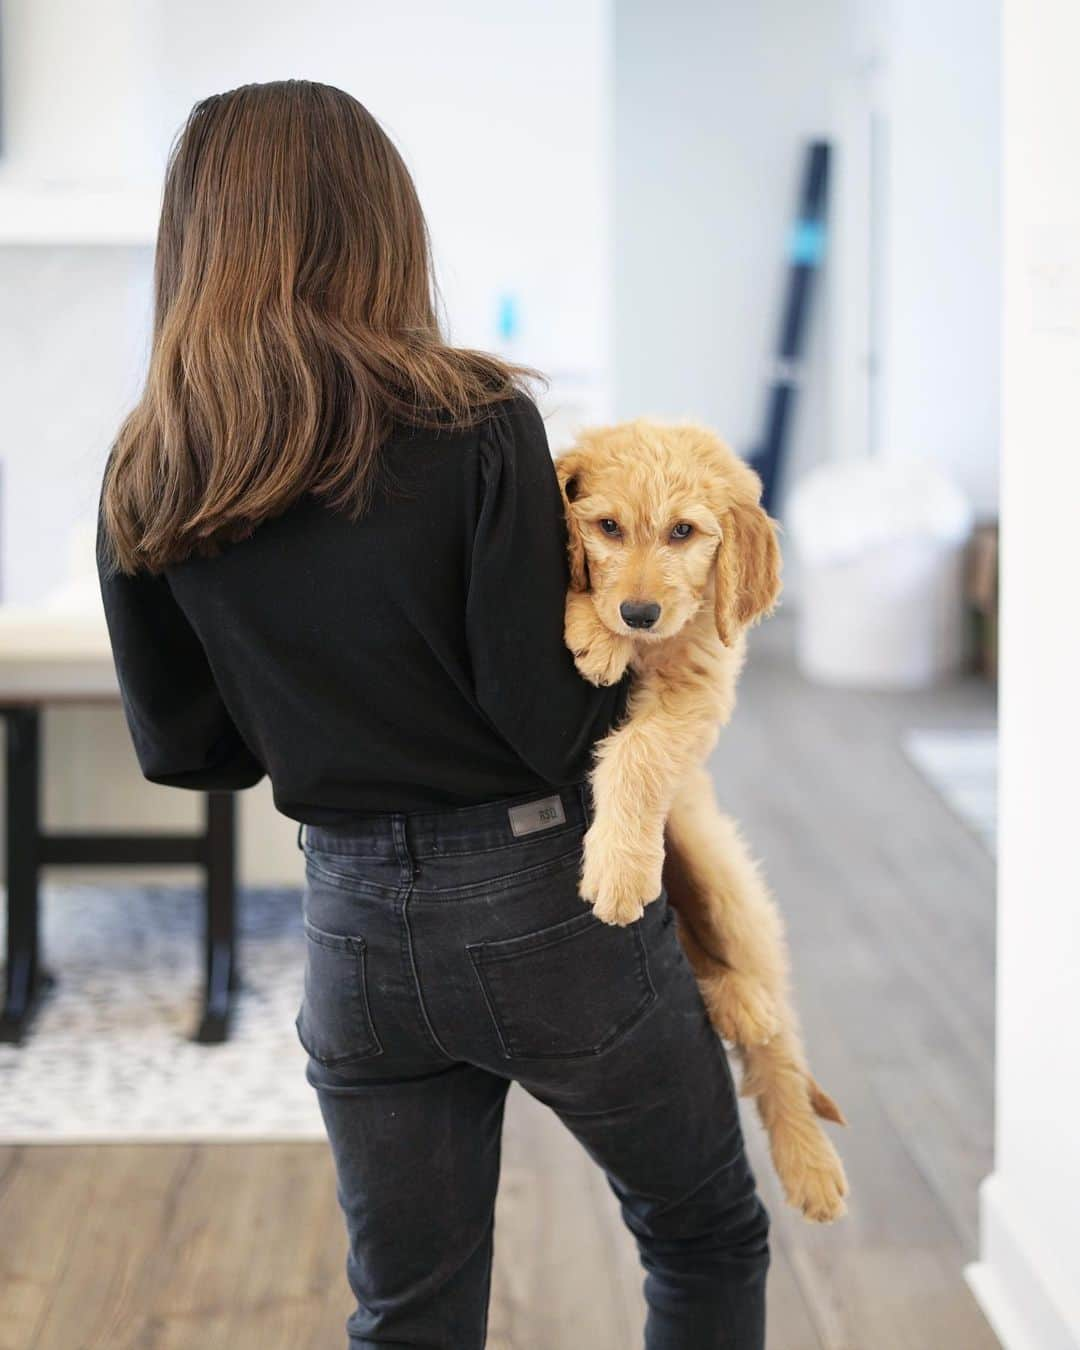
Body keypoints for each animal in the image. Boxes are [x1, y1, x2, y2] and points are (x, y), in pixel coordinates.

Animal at [561, 418, 847, 1225]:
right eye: (607, 527)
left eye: (684, 532)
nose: (637, 613)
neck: (656, 646)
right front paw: (593, 632)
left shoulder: (701, 692)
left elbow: (637, 751)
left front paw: (618, 871)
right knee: (697, 957)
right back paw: (735, 1004)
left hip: (723, 875)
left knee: (780, 1043)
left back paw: (808, 1160)